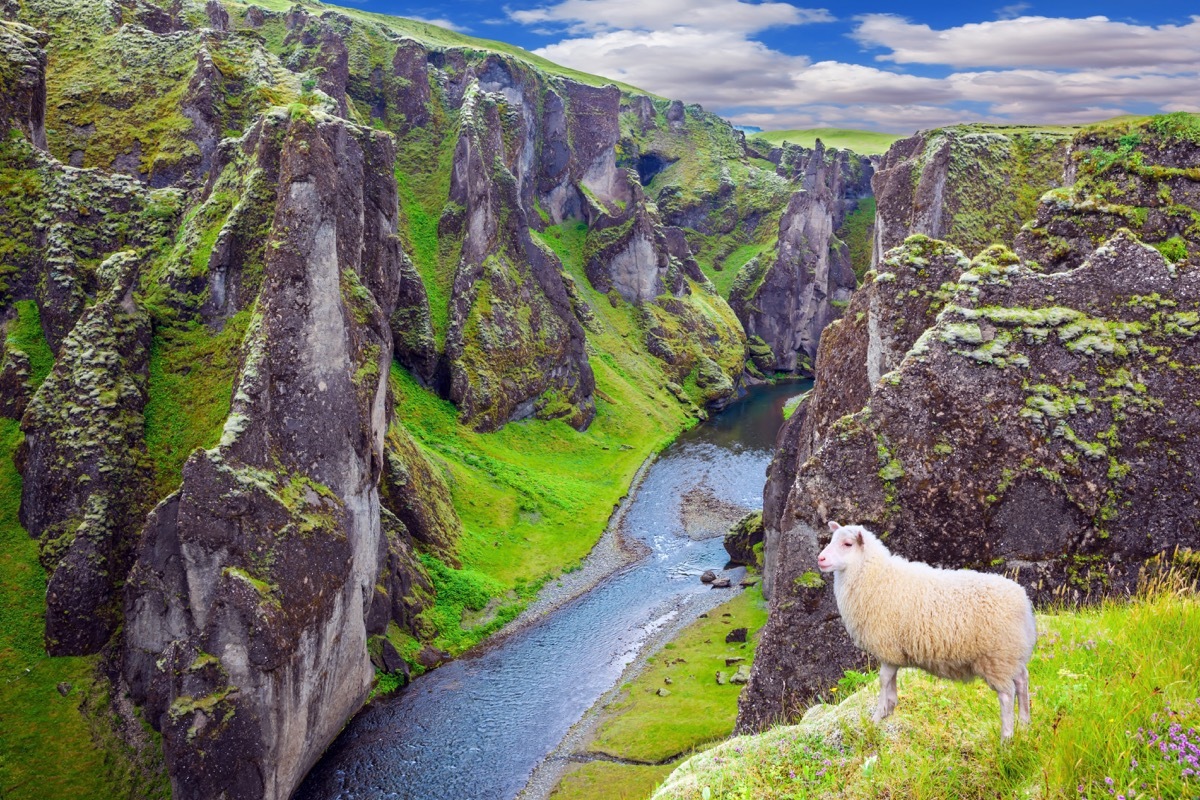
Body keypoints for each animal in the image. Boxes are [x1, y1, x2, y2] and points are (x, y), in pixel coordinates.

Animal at [820, 520, 1036, 738]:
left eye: (847, 544)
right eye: (831, 539)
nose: (820, 558)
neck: (875, 576)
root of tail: (1023, 600)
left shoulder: (887, 647)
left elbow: (883, 680)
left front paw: (877, 717)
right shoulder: (893, 652)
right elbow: (890, 681)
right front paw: (889, 708)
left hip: (997, 657)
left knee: (1007, 695)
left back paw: (1007, 737)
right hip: (1012, 652)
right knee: (1022, 681)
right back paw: (1025, 724)